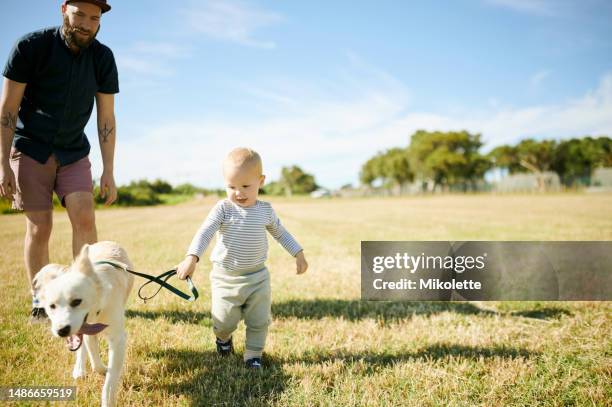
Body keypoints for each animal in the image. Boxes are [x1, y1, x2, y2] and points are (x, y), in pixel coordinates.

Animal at [34, 242, 134, 407]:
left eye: (76, 301)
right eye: (51, 306)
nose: (61, 331)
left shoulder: (118, 339)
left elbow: (110, 379)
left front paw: (107, 399)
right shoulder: (87, 331)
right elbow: (94, 359)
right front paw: (101, 369)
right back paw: (79, 370)